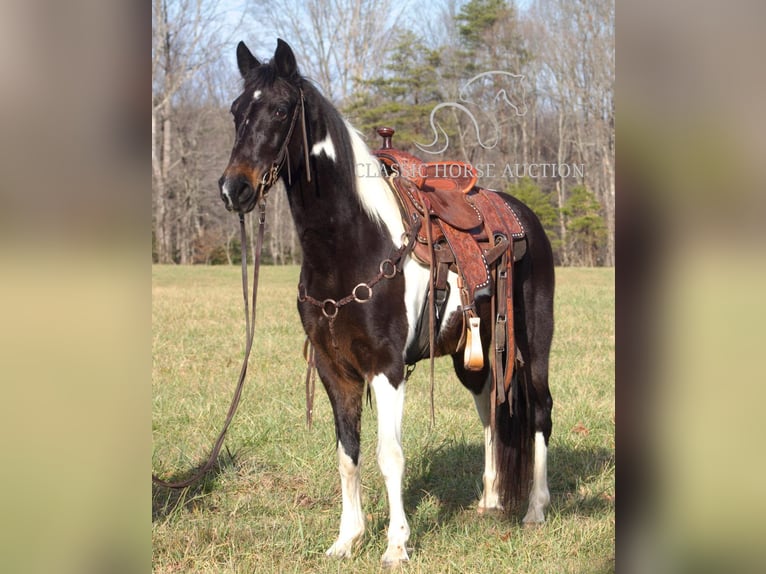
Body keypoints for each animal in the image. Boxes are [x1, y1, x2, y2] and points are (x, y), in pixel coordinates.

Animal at [219, 39, 556, 568]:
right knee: (490, 413)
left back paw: (535, 509)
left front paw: (397, 544)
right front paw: (347, 538)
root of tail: (526, 220)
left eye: (278, 109)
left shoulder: (387, 367)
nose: (234, 189)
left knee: (540, 410)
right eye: (236, 110)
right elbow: (347, 454)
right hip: (473, 356)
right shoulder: (334, 368)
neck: (353, 242)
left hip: (533, 346)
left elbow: (389, 454)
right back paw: (489, 501)